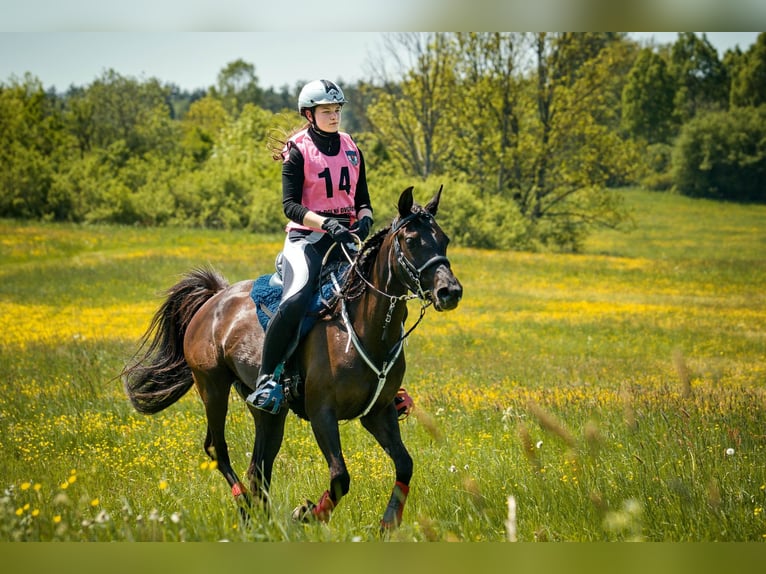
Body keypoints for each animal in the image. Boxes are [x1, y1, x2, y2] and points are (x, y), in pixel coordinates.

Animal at [123, 188, 464, 532]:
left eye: (444, 239)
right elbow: (340, 477)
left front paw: (389, 521)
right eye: (412, 240)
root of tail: (214, 299)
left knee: (259, 466)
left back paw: (263, 521)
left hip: (268, 411)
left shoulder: (378, 412)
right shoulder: (321, 412)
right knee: (218, 449)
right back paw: (247, 509)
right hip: (212, 387)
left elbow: (405, 464)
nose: (450, 291)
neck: (366, 327)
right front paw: (307, 513)